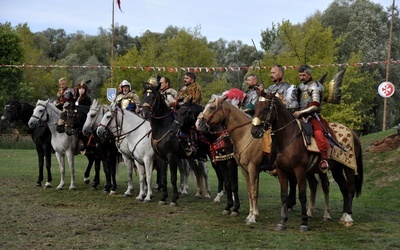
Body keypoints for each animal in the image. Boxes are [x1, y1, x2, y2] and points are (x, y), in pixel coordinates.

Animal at [252, 91, 364, 231]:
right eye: (256, 107)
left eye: (266, 108)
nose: (254, 132)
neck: (288, 136)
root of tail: (353, 133)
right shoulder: (282, 171)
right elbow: (283, 196)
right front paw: (282, 222)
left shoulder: (299, 170)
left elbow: (302, 195)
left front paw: (304, 222)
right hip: (336, 169)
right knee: (344, 189)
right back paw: (343, 216)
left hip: (348, 167)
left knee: (350, 189)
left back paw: (348, 217)